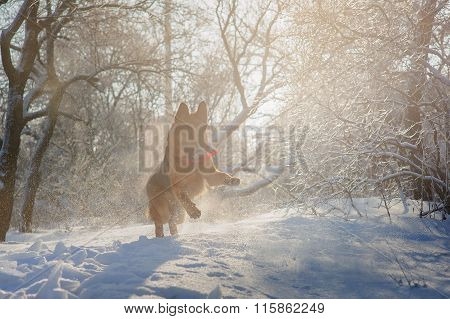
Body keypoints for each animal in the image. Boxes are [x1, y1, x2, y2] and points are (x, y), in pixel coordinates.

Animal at [147, 102, 239, 238]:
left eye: (204, 130)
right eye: (190, 131)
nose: (210, 150)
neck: (193, 162)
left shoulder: (210, 176)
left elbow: (223, 176)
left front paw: (232, 180)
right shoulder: (178, 186)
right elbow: (184, 197)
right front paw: (194, 211)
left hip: (180, 215)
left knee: (172, 222)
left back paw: (175, 236)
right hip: (164, 211)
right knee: (159, 223)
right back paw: (160, 238)